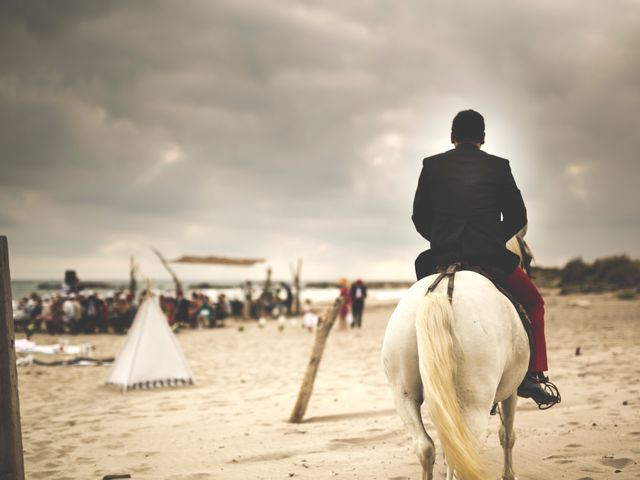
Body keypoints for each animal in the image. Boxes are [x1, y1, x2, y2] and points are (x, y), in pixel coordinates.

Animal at [382, 242, 528, 478]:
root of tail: (440, 294)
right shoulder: (511, 391)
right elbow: (507, 435)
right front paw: (508, 475)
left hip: (403, 394)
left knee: (426, 447)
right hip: (473, 405)